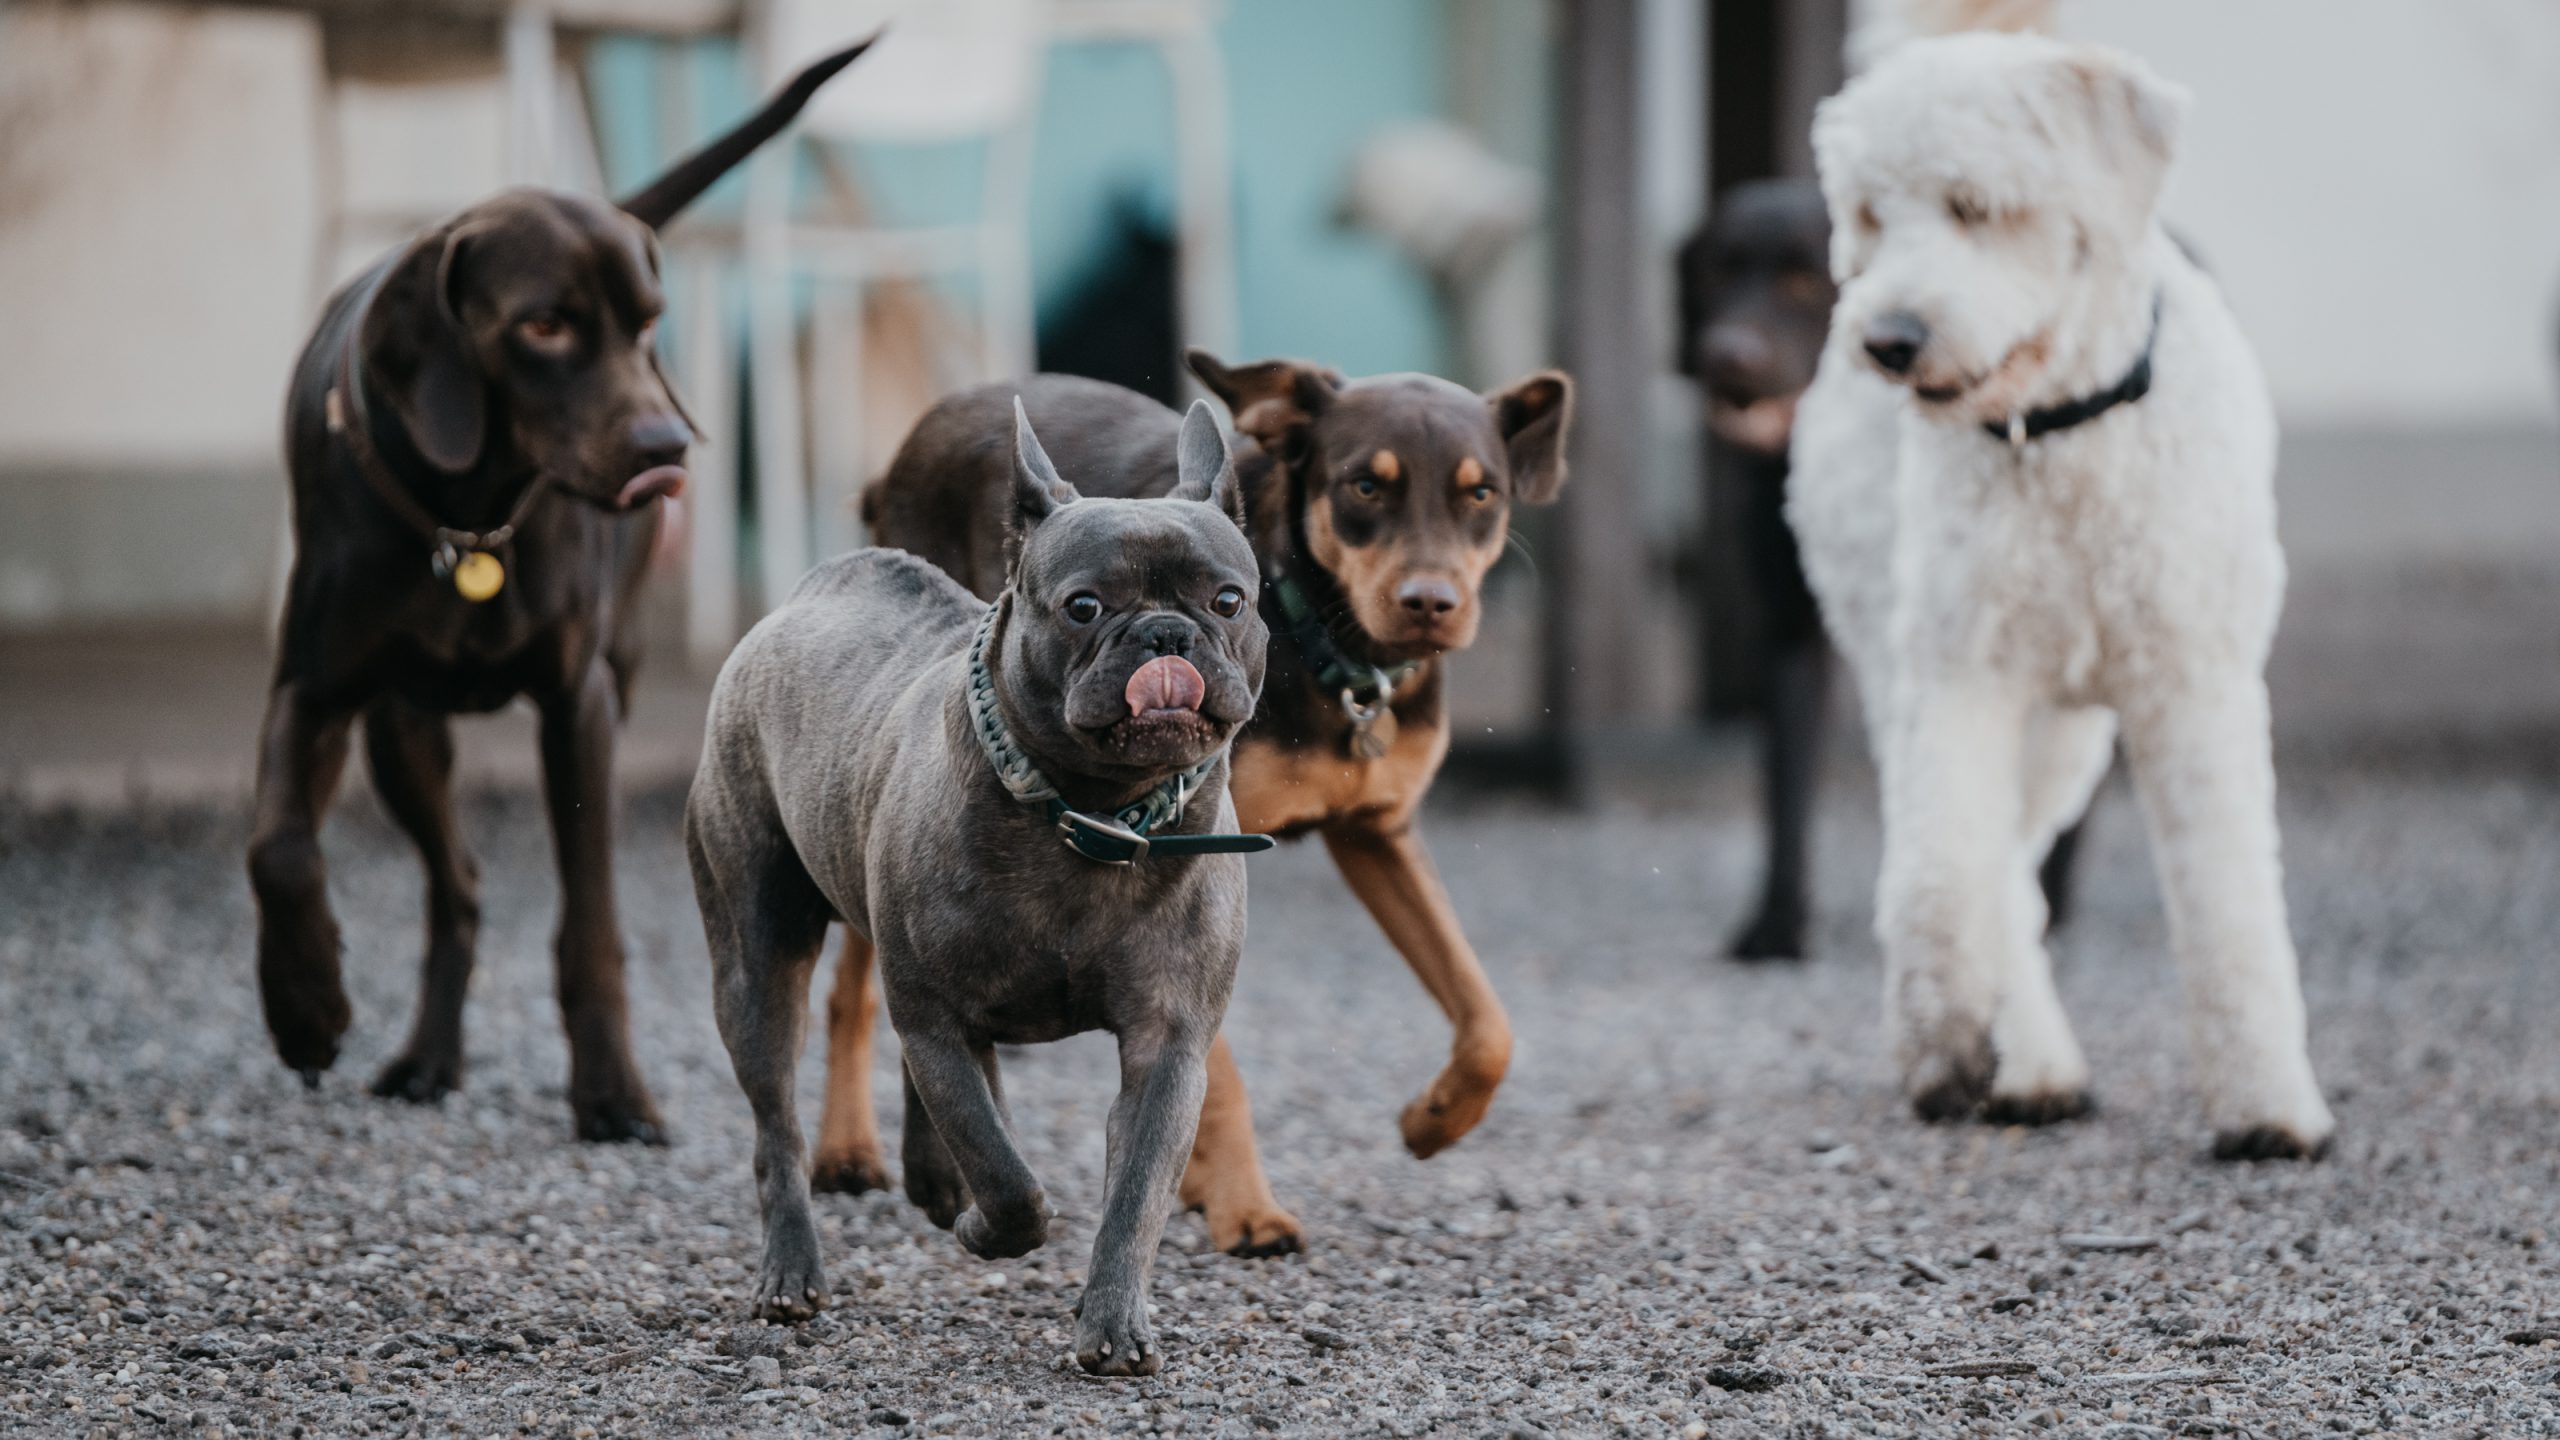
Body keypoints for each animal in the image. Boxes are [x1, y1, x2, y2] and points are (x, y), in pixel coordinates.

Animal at [247, 36, 880, 1142]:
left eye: (649, 327)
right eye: (542, 325)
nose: (665, 451)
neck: (464, 519)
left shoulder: (577, 708)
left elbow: (591, 925)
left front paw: (613, 1092)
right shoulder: (313, 690)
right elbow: (277, 847)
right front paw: (306, 1006)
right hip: (401, 732)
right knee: (455, 884)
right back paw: (425, 1057)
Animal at [839, 353, 1566, 1250]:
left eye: (1481, 493)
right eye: (1365, 486)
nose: (1430, 603)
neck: (1318, 630)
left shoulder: (1378, 834)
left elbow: (1487, 1019)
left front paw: (1434, 1119)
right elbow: (1218, 1076)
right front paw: (1242, 1205)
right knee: (854, 984)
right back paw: (846, 1152)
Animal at [1679, 181, 2078, 963]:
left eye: (1804, 283)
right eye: (1716, 270)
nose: (1728, 356)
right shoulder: (1791, 625)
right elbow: (1788, 783)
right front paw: (1777, 924)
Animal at [1792, 33, 2334, 1153]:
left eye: (1974, 204)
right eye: (1871, 214)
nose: (1888, 339)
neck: (2061, 430)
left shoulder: (2195, 688)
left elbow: (2230, 905)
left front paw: (2266, 1103)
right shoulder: (1959, 675)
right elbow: (1938, 874)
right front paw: (1940, 1032)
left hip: (2066, 734)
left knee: (2015, 867)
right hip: (1915, 671)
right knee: (1983, 869)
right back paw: (2020, 1062)